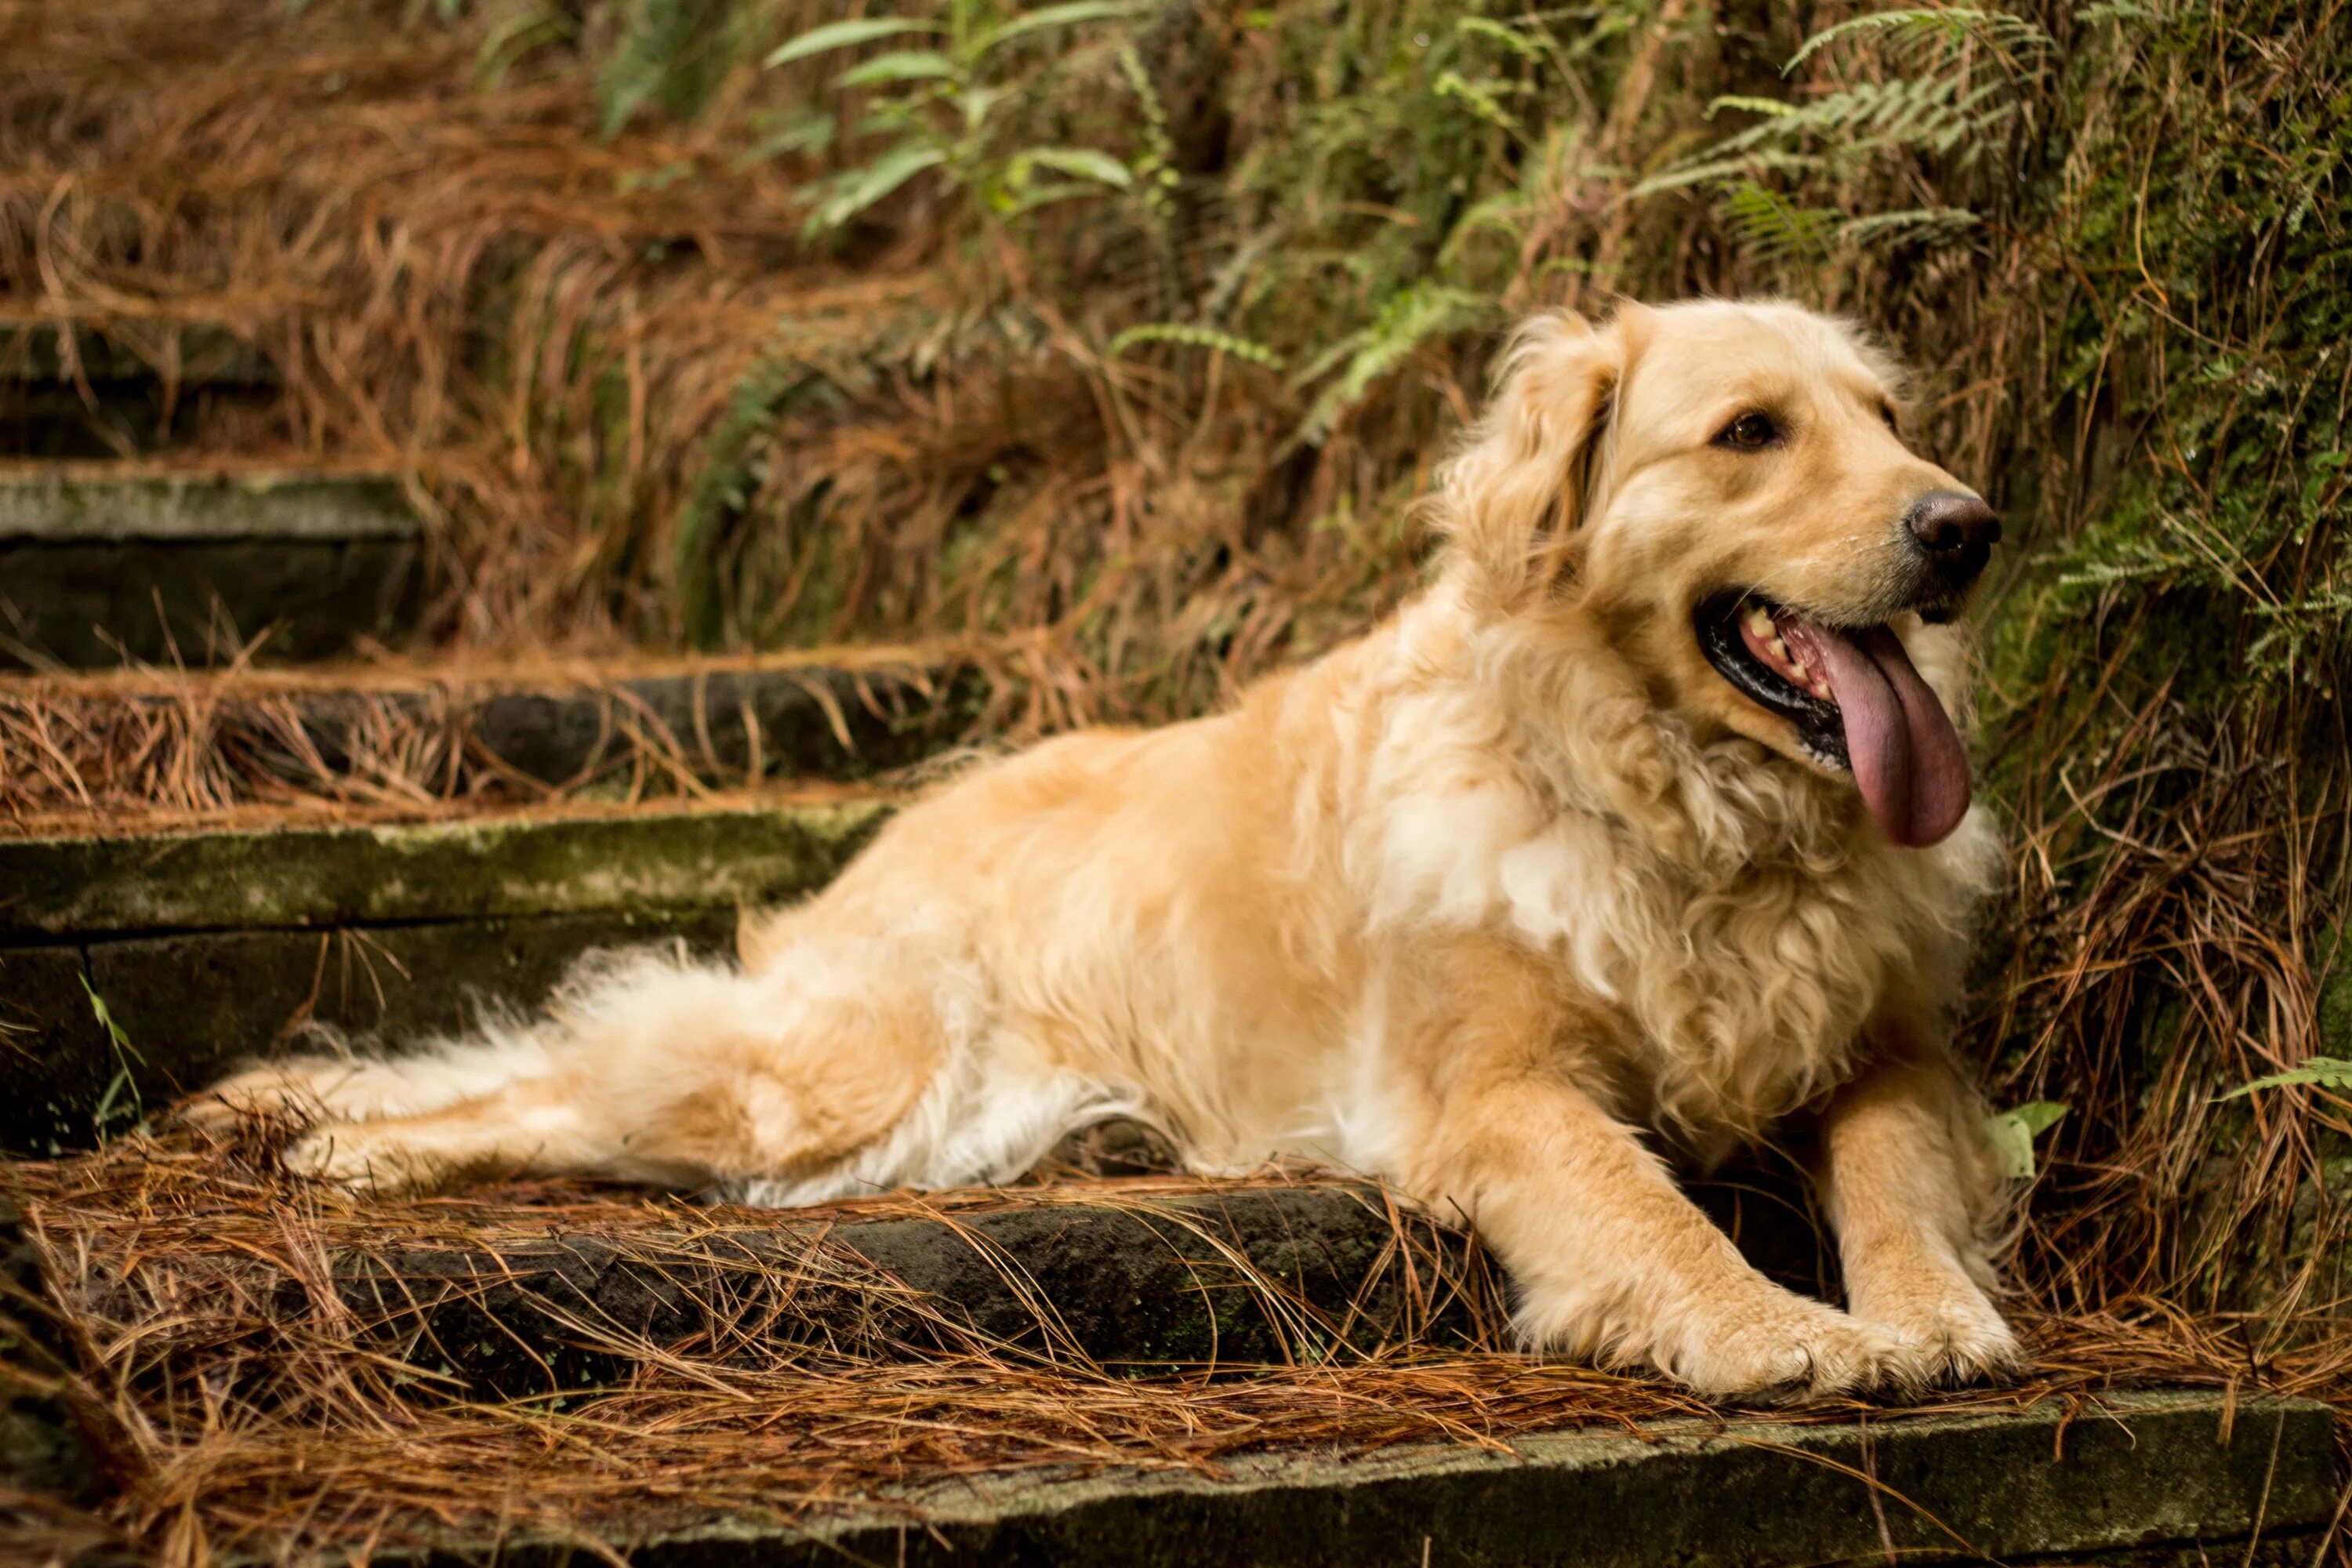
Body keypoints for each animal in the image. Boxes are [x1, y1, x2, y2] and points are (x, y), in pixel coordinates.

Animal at [198, 297, 2023, 1401]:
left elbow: (1894, 1181)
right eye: (1751, 432)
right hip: (848, 1083)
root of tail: (910, 815)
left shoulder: (1892, 1047)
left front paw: (1928, 1312)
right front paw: (1772, 1328)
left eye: (1886, 415)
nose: (1969, 528)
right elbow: (1640, 1202)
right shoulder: (1490, 1091)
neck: (1685, 815)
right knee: (557, 1077)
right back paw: (339, 1149)